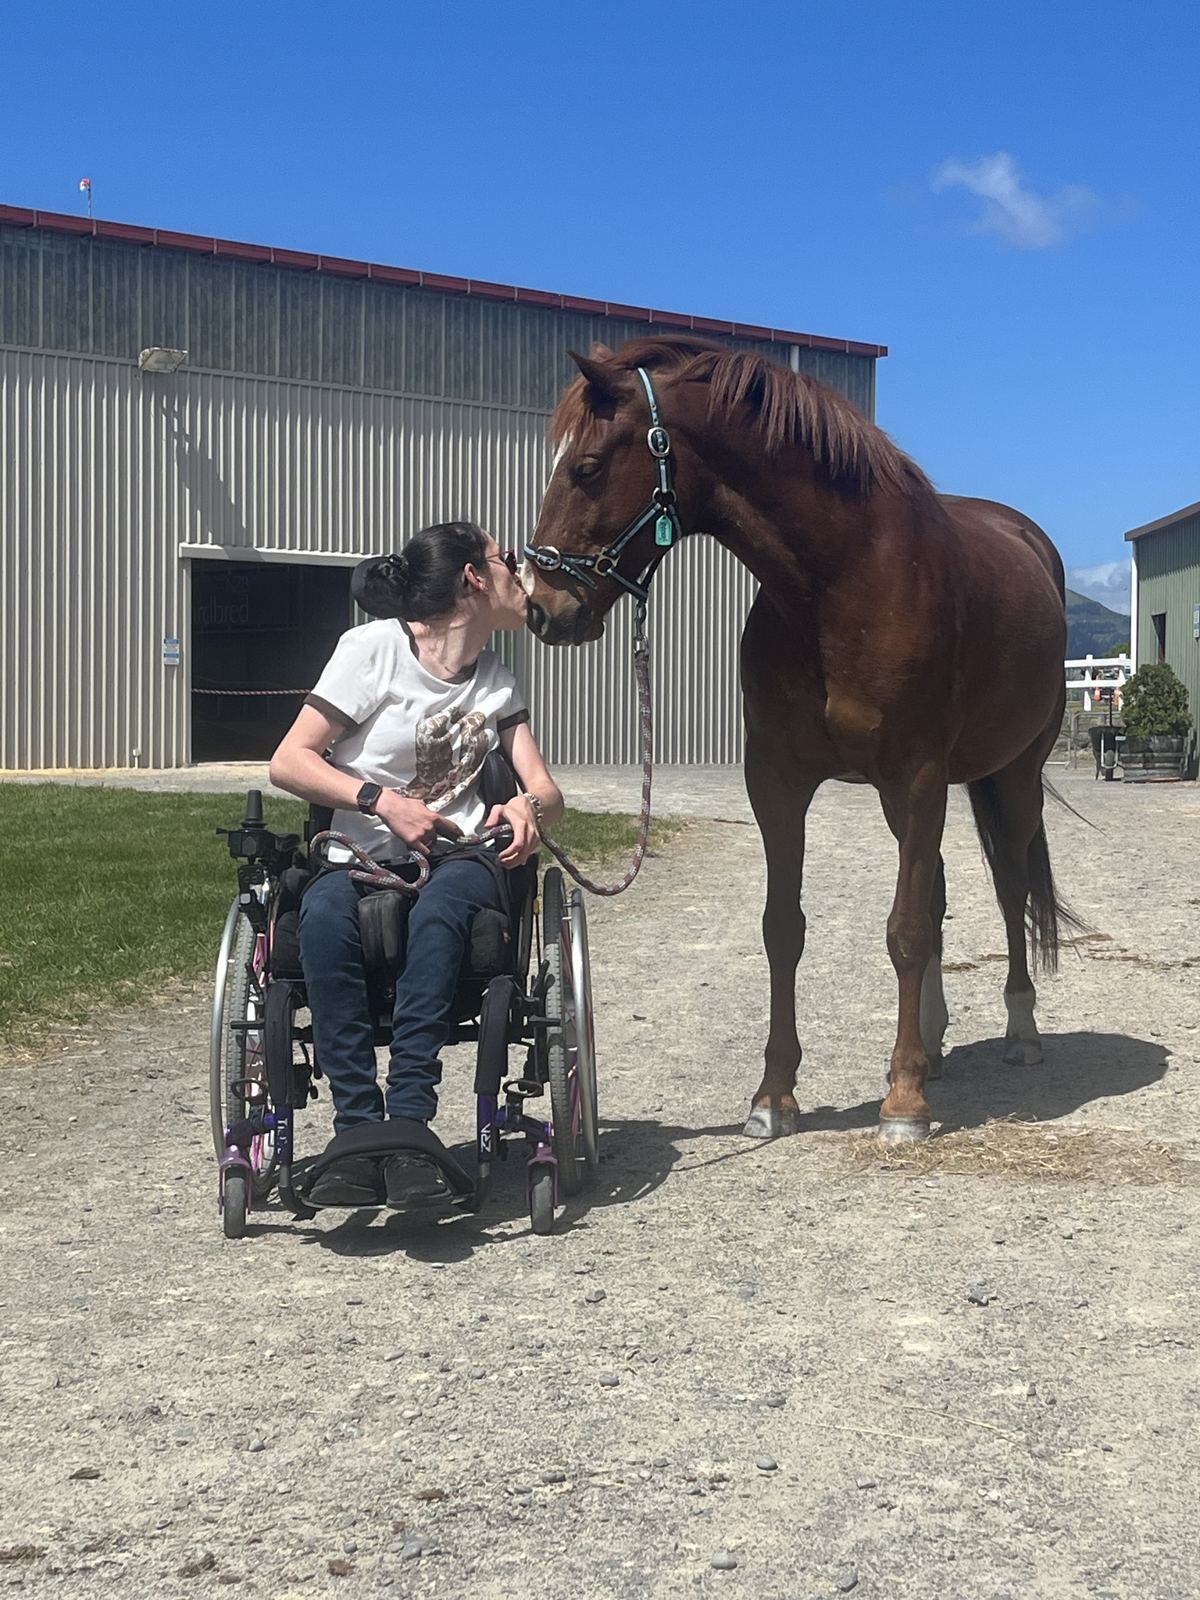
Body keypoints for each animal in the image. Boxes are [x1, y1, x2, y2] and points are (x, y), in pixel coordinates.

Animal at [522, 335, 1078, 1143]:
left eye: (587, 467)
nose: (541, 608)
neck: (843, 582)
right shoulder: (778, 782)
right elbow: (784, 929)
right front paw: (774, 1095)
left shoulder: (916, 777)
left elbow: (905, 930)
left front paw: (903, 1105)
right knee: (942, 889)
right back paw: (931, 1046)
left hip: (1010, 780)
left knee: (1008, 887)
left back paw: (1019, 1033)